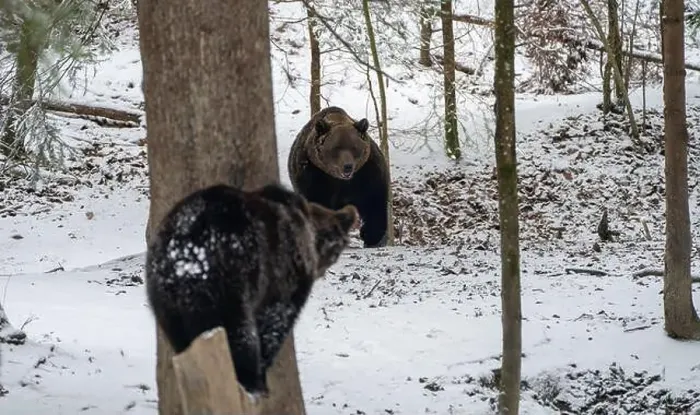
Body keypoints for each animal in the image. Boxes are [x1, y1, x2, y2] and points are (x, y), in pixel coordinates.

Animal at [144, 183, 358, 396]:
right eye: (336, 246)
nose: (323, 268)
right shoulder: (283, 280)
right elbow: (275, 323)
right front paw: (262, 372)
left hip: (164, 294)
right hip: (232, 282)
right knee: (240, 332)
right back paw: (250, 380)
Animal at [287, 106, 390, 248]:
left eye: (354, 147)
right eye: (336, 148)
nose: (347, 166)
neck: (339, 180)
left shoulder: (367, 172)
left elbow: (374, 201)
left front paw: (372, 237)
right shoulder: (313, 174)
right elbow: (317, 203)